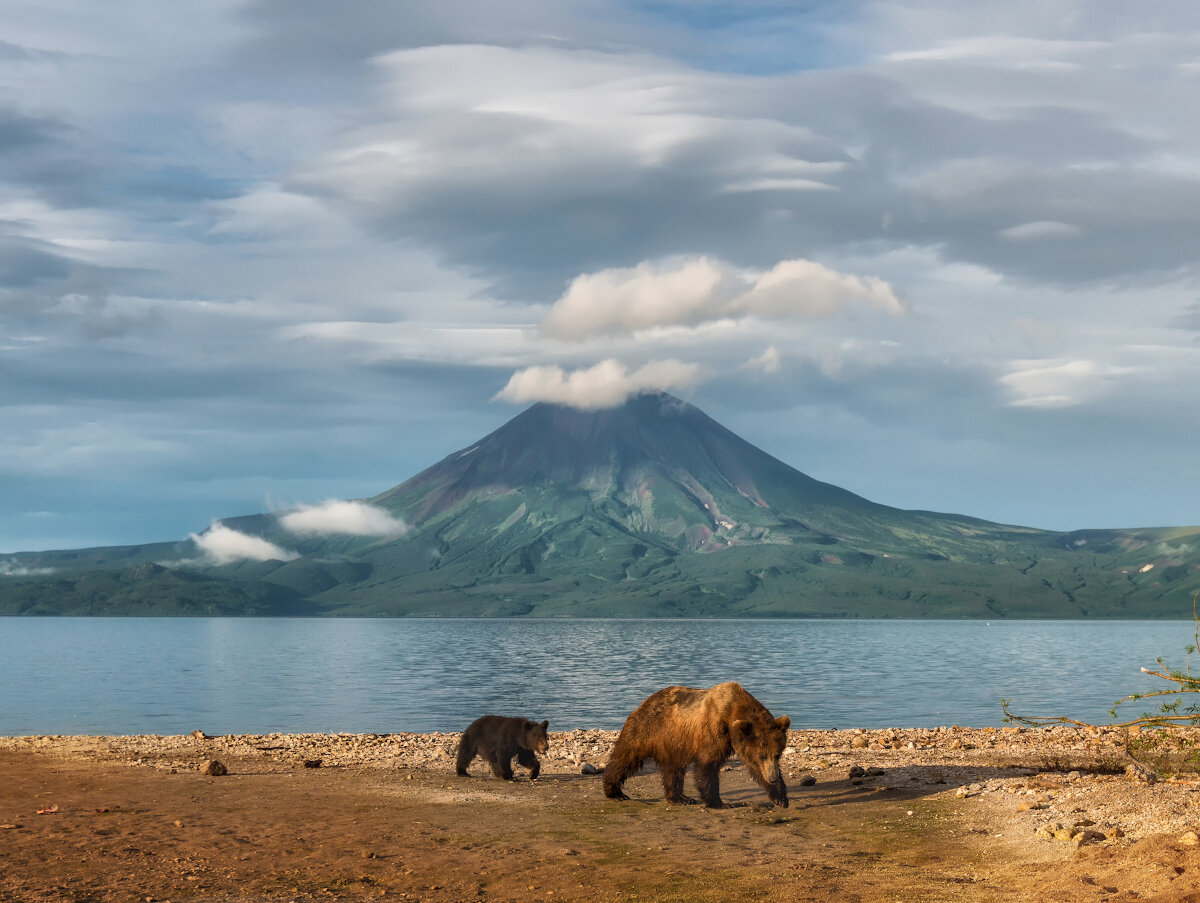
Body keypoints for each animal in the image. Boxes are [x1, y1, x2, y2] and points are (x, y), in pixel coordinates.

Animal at [604, 682, 792, 806]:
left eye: (777, 754)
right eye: (762, 755)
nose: (773, 778)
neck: (731, 711)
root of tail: (645, 701)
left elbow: (756, 769)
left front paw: (780, 797)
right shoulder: (713, 730)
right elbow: (708, 765)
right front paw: (719, 802)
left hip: (673, 743)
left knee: (673, 770)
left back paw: (681, 798)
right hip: (647, 730)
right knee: (625, 757)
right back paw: (614, 791)